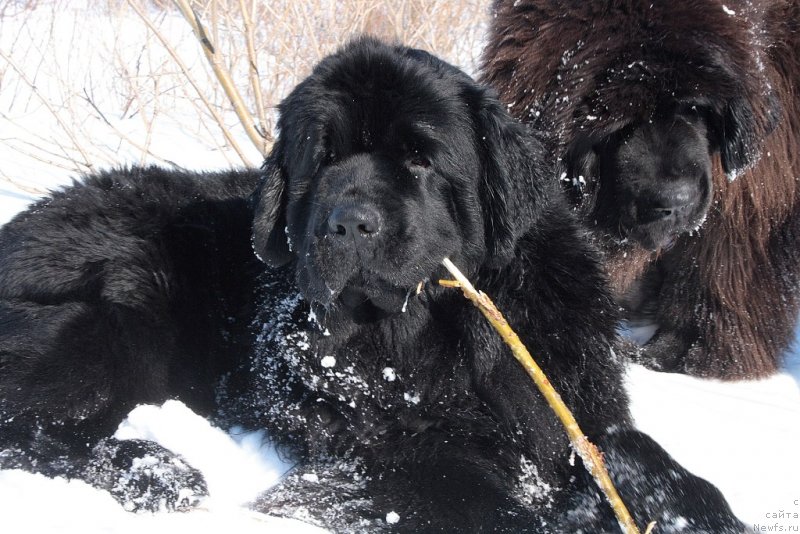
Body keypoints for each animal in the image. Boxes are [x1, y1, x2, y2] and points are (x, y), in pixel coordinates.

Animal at [3, 36, 748, 532]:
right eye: (321, 159)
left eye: (421, 160)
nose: (348, 223)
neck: (444, 337)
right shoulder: (387, 449)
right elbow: (480, 499)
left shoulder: (565, 393)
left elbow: (627, 447)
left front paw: (695, 508)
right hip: (117, 319)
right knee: (29, 427)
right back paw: (153, 469)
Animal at [482, 0, 800, 382]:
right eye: (621, 125)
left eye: (695, 108)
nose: (678, 201)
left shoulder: (757, 190)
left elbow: (720, 265)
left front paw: (686, 355)